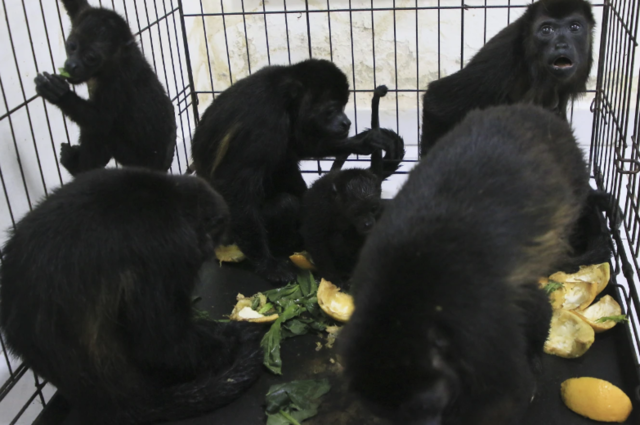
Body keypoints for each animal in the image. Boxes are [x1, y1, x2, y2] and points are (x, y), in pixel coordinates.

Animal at [34, 0, 175, 176]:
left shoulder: (117, 83)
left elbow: (101, 121)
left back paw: (79, 169)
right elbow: (76, 6)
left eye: (90, 57)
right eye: (71, 46)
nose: (71, 65)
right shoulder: (84, 13)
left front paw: (60, 95)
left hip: (132, 159)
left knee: (100, 132)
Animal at [191, 57, 396, 282]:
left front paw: (362, 142)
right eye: (332, 110)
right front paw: (268, 265)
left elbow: (298, 145)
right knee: (284, 202)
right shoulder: (265, 121)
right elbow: (233, 185)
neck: (284, 94)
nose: (346, 122)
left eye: (344, 107)